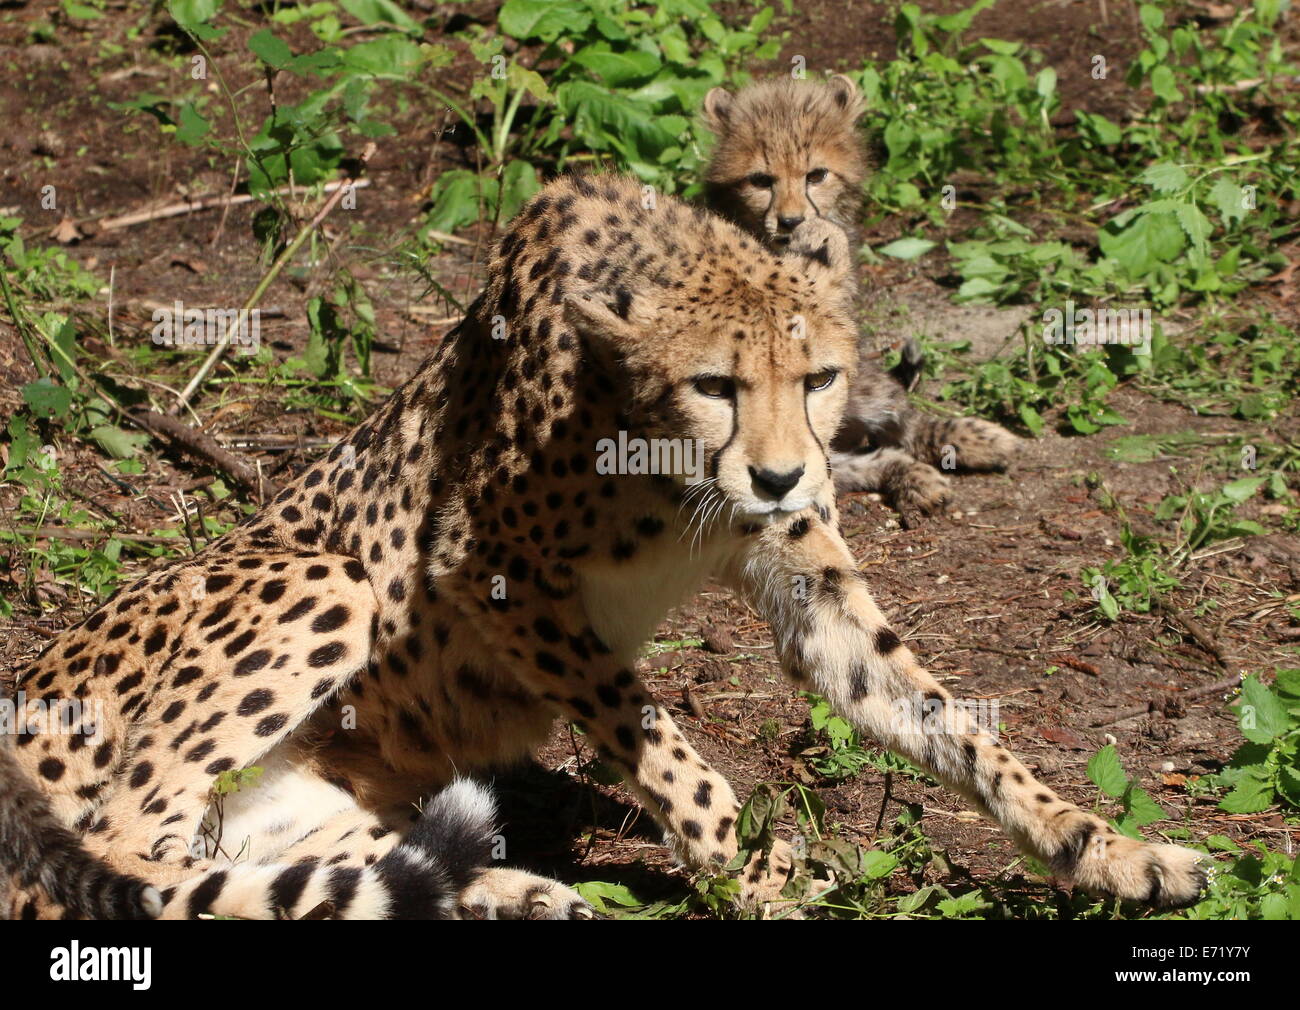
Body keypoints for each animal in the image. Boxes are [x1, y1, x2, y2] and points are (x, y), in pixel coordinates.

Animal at [6, 174, 1205, 919]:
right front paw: (753, 869)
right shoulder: (489, 574)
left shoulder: (806, 577)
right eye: (716, 381)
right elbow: (659, 740)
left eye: (818, 375)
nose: (782, 476)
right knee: (130, 849)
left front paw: (1101, 846)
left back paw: (503, 892)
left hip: (331, 801)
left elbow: (943, 716)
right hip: (326, 583)